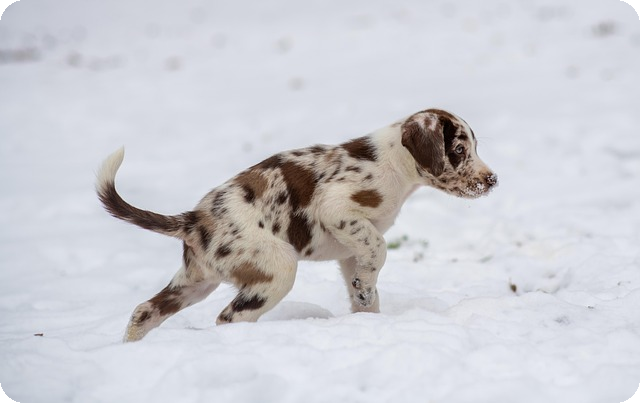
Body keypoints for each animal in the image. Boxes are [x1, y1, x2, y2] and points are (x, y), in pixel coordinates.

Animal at [96, 108, 497, 342]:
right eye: (459, 150)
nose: (492, 181)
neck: (393, 163)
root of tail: (193, 219)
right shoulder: (337, 209)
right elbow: (379, 250)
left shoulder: (350, 251)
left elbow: (365, 285)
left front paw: (367, 310)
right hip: (277, 269)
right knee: (228, 318)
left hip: (196, 282)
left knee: (145, 311)